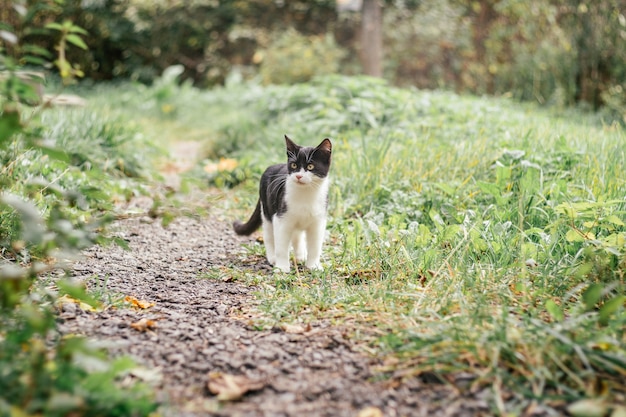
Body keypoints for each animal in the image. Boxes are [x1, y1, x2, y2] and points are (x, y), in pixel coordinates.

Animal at [233, 135, 332, 272]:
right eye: (294, 165)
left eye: (310, 166)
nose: (299, 176)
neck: (305, 195)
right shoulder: (281, 218)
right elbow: (281, 246)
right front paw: (282, 268)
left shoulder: (318, 220)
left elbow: (315, 246)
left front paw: (314, 266)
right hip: (267, 210)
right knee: (269, 235)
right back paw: (273, 258)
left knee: (297, 235)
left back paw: (300, 256)